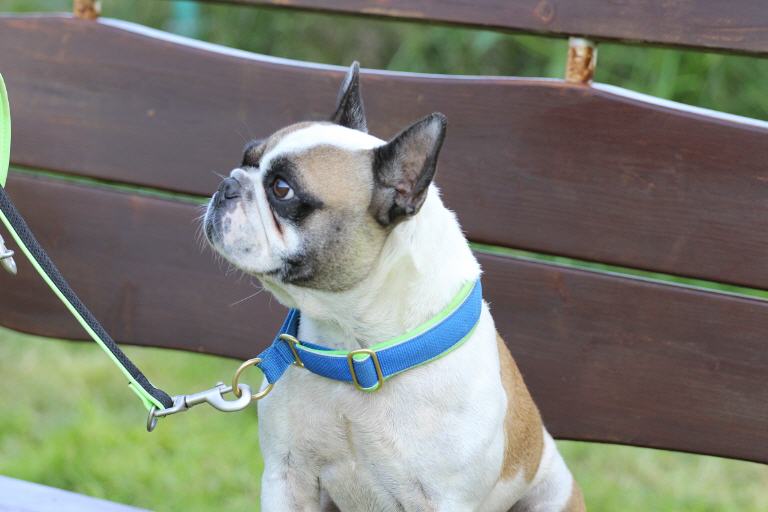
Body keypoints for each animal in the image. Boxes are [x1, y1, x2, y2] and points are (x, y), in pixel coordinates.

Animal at [204, 62, 585, 512]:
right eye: (246, 157)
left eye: (282, 189)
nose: (228, 184)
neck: (354, 343)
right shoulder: (287, 476)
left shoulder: (444, 500)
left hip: (552, 493)